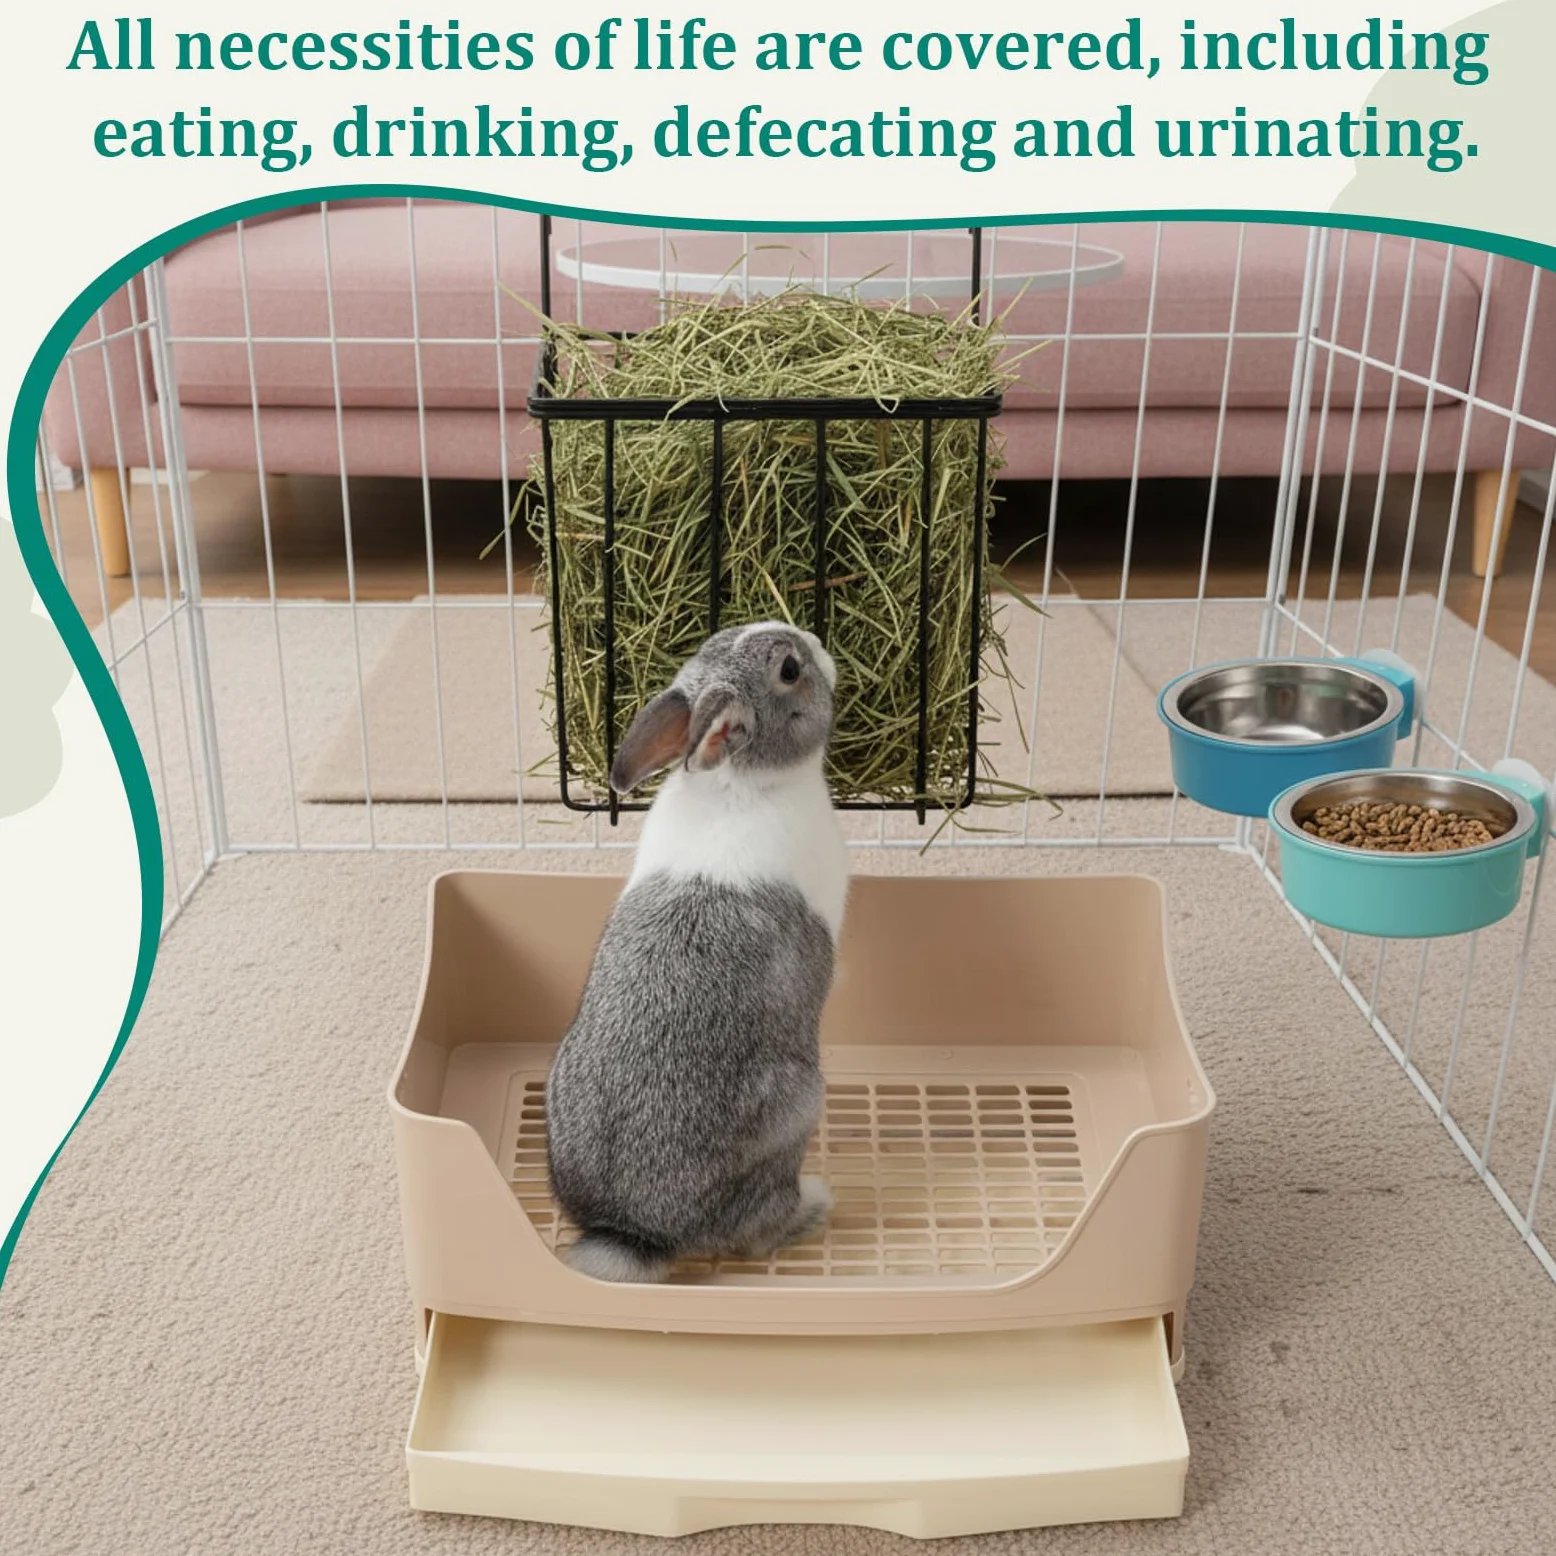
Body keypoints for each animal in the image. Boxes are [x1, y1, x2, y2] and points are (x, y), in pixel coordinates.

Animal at [545, 621, 849, 1283]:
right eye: (790, 670)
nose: (816, 641)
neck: (738, 780)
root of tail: (634, 1232)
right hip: (799, 1106)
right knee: (761, 1229)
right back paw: (816, 1201)